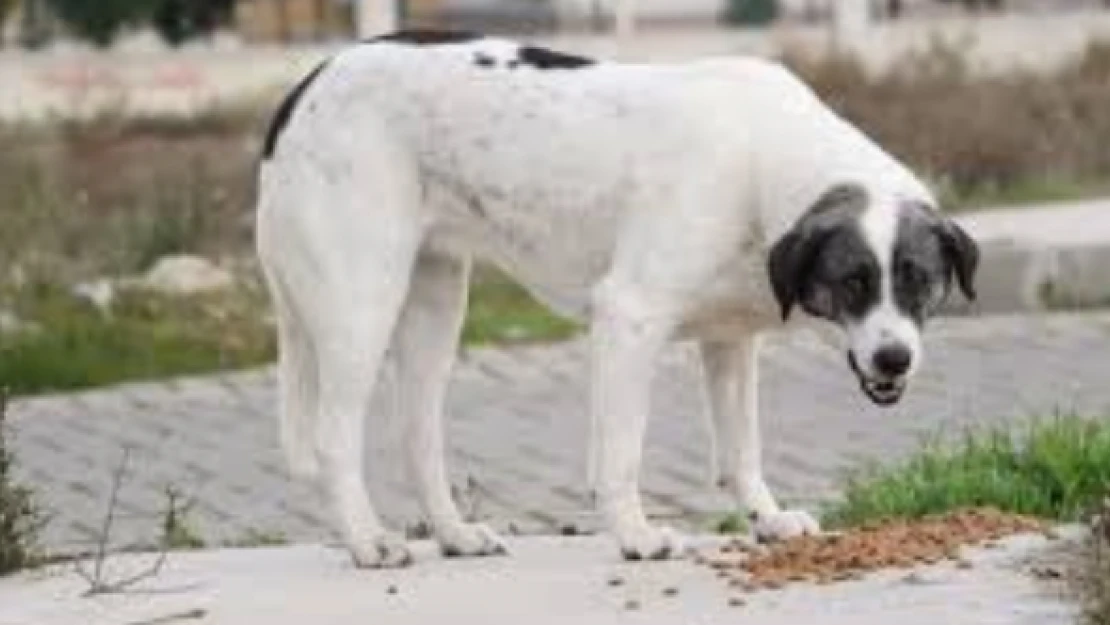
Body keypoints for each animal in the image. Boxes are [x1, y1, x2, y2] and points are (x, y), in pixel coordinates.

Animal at [254, 28, 981, 568]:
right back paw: (367, 541)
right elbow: (623, 450)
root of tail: (305, 84)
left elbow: (741, 451)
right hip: (362, 303)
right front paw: (635, 534)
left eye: (918, 279)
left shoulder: (730, 341)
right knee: (334, 436)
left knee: (417, 433)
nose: (894, 360)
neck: (761, 160)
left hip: (436, 305)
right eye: (854, 280)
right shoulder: (630, 317)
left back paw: (454, 534)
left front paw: (767, 520)